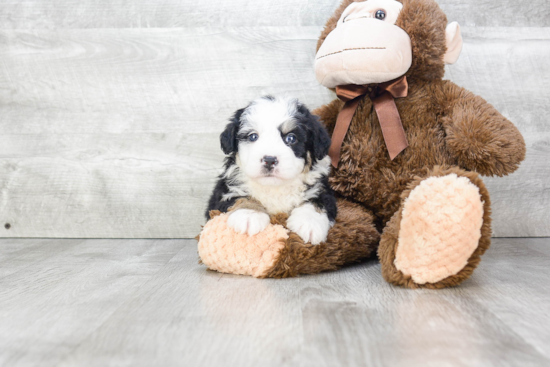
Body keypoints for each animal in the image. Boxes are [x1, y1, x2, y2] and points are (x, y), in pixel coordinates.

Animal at [206, 95, 338, 244]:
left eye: (291, 138)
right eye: (253, 136)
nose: (269, 160)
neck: (274, 188)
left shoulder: (322, 188)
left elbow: (318, 201)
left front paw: (309, 223)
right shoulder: (225, 189)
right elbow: (239, 197)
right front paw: (249, 214)